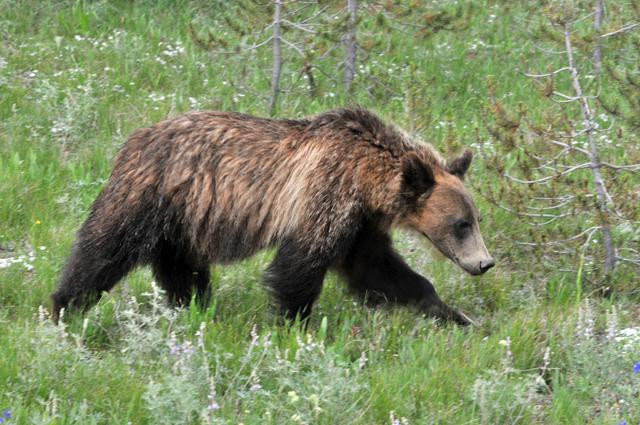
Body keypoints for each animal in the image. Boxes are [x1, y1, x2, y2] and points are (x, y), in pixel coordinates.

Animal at [53, 107, 496, 324]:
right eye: (461, 224)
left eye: (475, 219)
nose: (485, 263)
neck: (367, 179)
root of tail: (134, 139)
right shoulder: (325, 195)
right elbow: (299, 267)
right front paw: (293, 326)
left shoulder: (360, 226)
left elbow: (380, 270)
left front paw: (454, 315)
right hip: (151, 195)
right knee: (104, 250)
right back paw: (64, 308)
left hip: (184, 220)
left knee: (182, 268)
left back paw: (195, 307)